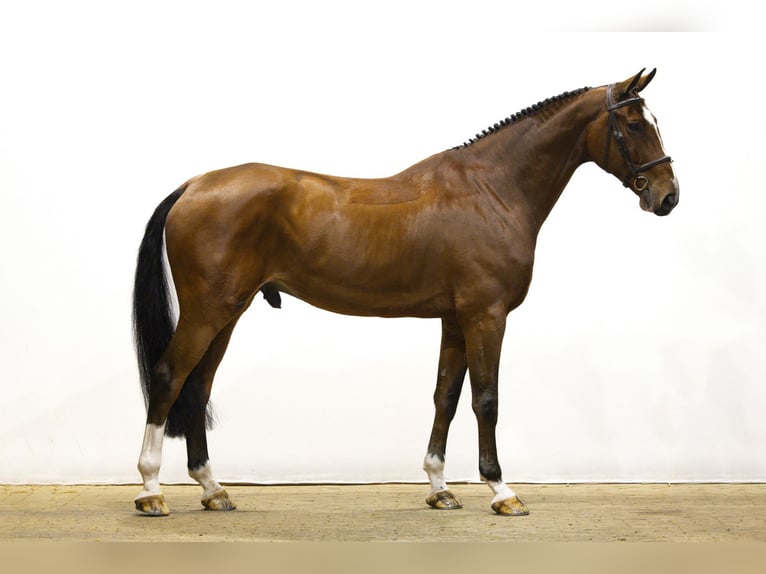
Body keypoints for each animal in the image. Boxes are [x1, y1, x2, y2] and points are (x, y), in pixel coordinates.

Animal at [132, 69, 678, 517]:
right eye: (634, 124)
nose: (667, 196)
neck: (492, 191)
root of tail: (193, 185)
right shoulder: (486, 316)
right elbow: (486, 399)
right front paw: (502, 492)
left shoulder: (455, 319)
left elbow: (446, 397)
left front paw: (440, 488)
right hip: (207, 311)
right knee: (169, 377)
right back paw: (152, 491)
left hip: (228, 313)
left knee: (198, 386)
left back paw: (213, 490)